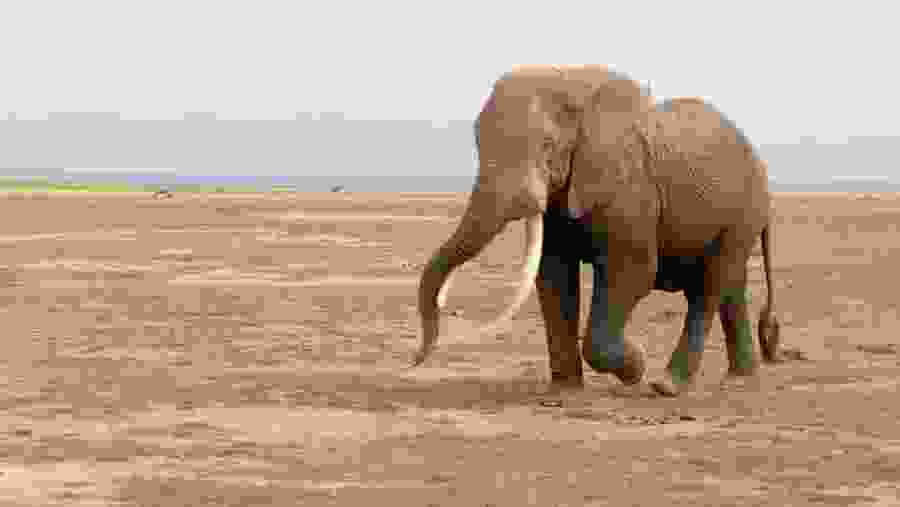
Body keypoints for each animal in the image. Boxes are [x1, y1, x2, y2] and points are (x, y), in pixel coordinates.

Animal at [412, 64, 782, 397]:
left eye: (548, 146)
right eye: (478, 144)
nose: (417, 358)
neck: (570, 83)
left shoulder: (629, 187)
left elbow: (631, 271)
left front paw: (636, 367)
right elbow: (555, 276)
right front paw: (565, 390)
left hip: (744, 212)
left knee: (710, 286)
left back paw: (668, 385)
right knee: (730, 287)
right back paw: (741, 378)